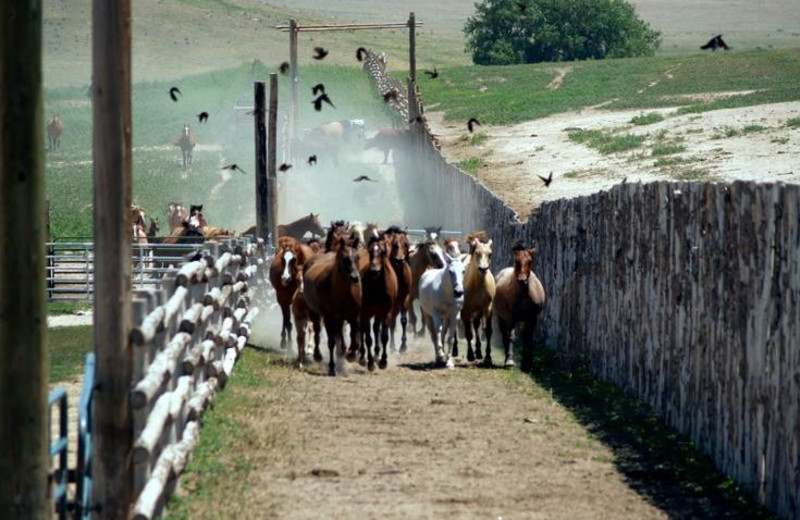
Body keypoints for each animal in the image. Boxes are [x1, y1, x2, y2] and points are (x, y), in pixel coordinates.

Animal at [302, 234, 360, 376]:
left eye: (358, 257)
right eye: (345, 258)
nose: (355, 277)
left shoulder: (354, 317)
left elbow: (354, 338)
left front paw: (351, 355)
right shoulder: (329, 318)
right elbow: (331, 342)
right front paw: (332, 367)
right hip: (314, 312)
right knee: (317, 331)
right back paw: (317, 355)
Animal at [360, 236, 400, 370]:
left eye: (382, 252)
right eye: (370, 251)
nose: (374, 271)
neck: (377, 284)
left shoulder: (386, 312)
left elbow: (384, 336)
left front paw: (383, 361)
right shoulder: (365, 312)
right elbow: (368, 338)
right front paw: (370, 363)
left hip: (378, 312)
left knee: (376, 328)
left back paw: (377, 354)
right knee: (362, 330)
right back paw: (362, 357)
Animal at [460, 234, 496, 364]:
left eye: (490, 254)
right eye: (477, 253)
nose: (483, 269)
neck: (477, 285)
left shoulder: (487, 308)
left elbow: (488, 331)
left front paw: (488, 357)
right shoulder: (464, 311)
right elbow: (468, 334)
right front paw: (470, 355)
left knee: (476, 324)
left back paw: (479, 352)